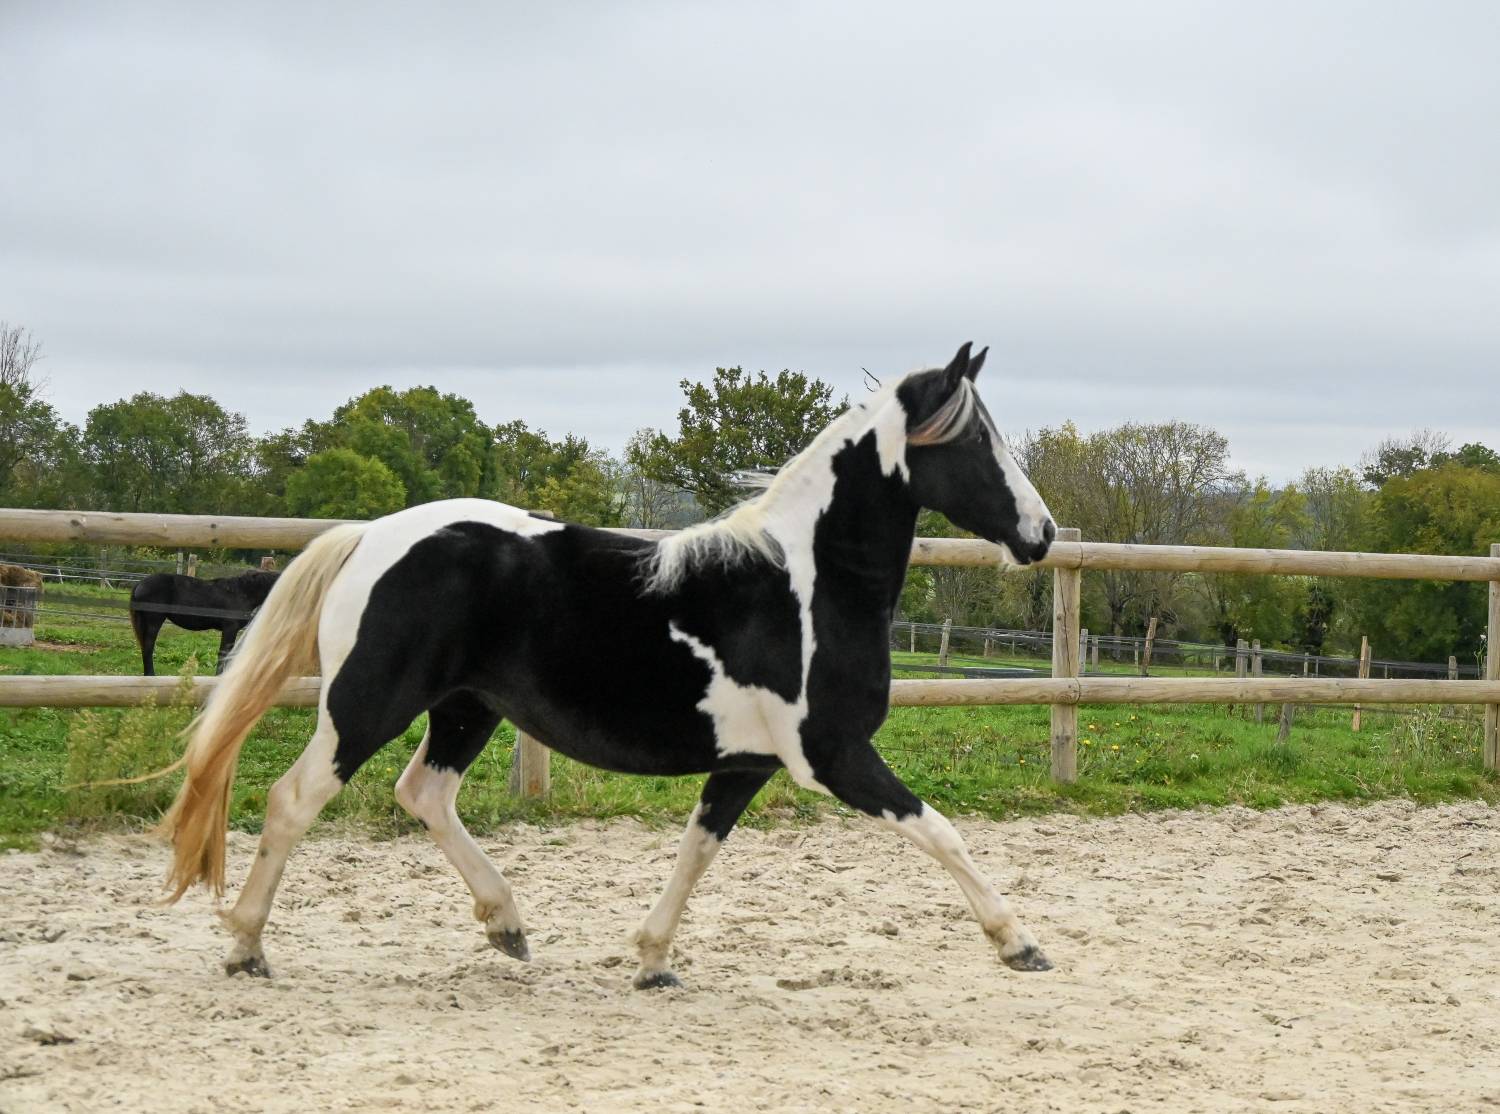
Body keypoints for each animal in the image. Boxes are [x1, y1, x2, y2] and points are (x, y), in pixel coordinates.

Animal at [129, 570, 280, 676]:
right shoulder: (230, 628)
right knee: (148, 647)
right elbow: (224, 653)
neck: (243, 593)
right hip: (154, 622)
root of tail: (140, 583)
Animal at [157, 343, 1057, 987]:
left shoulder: (746, 763)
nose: (1041, 533)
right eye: (977, 438)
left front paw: (654, 960)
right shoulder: (833, 754)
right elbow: (942, 832)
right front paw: (1019, 943)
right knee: (294, 799)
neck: (804, 584)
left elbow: (697, 850)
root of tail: (370, 535)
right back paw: (246, 948)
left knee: (424, 793)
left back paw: (508, 925)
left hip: (465, 707)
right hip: (368, 705)